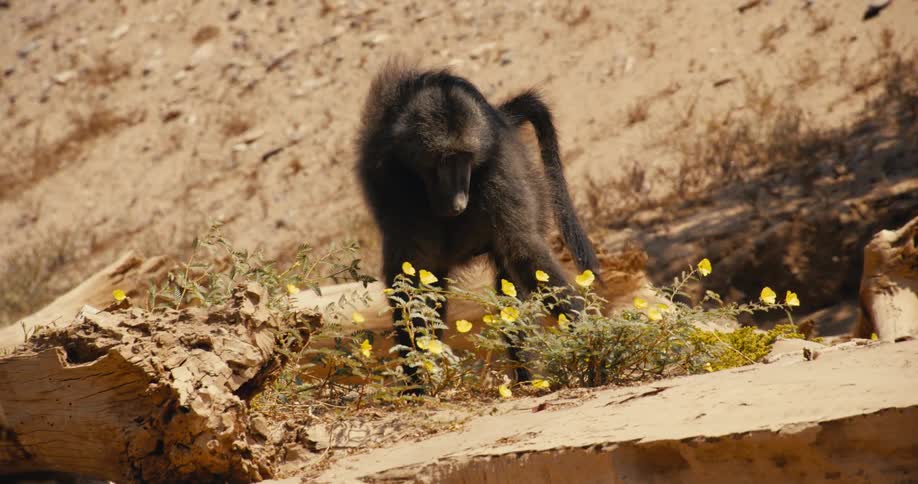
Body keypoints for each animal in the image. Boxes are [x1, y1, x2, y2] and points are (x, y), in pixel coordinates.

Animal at [355, 59, 600, 384]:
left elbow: (524, 250)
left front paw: (588, 338)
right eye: (444, 159)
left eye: (466, 158)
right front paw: (419, 377)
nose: (459, 201)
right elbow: (413, 274)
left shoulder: (500, 169)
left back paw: (528, 378)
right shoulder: (391, 183)